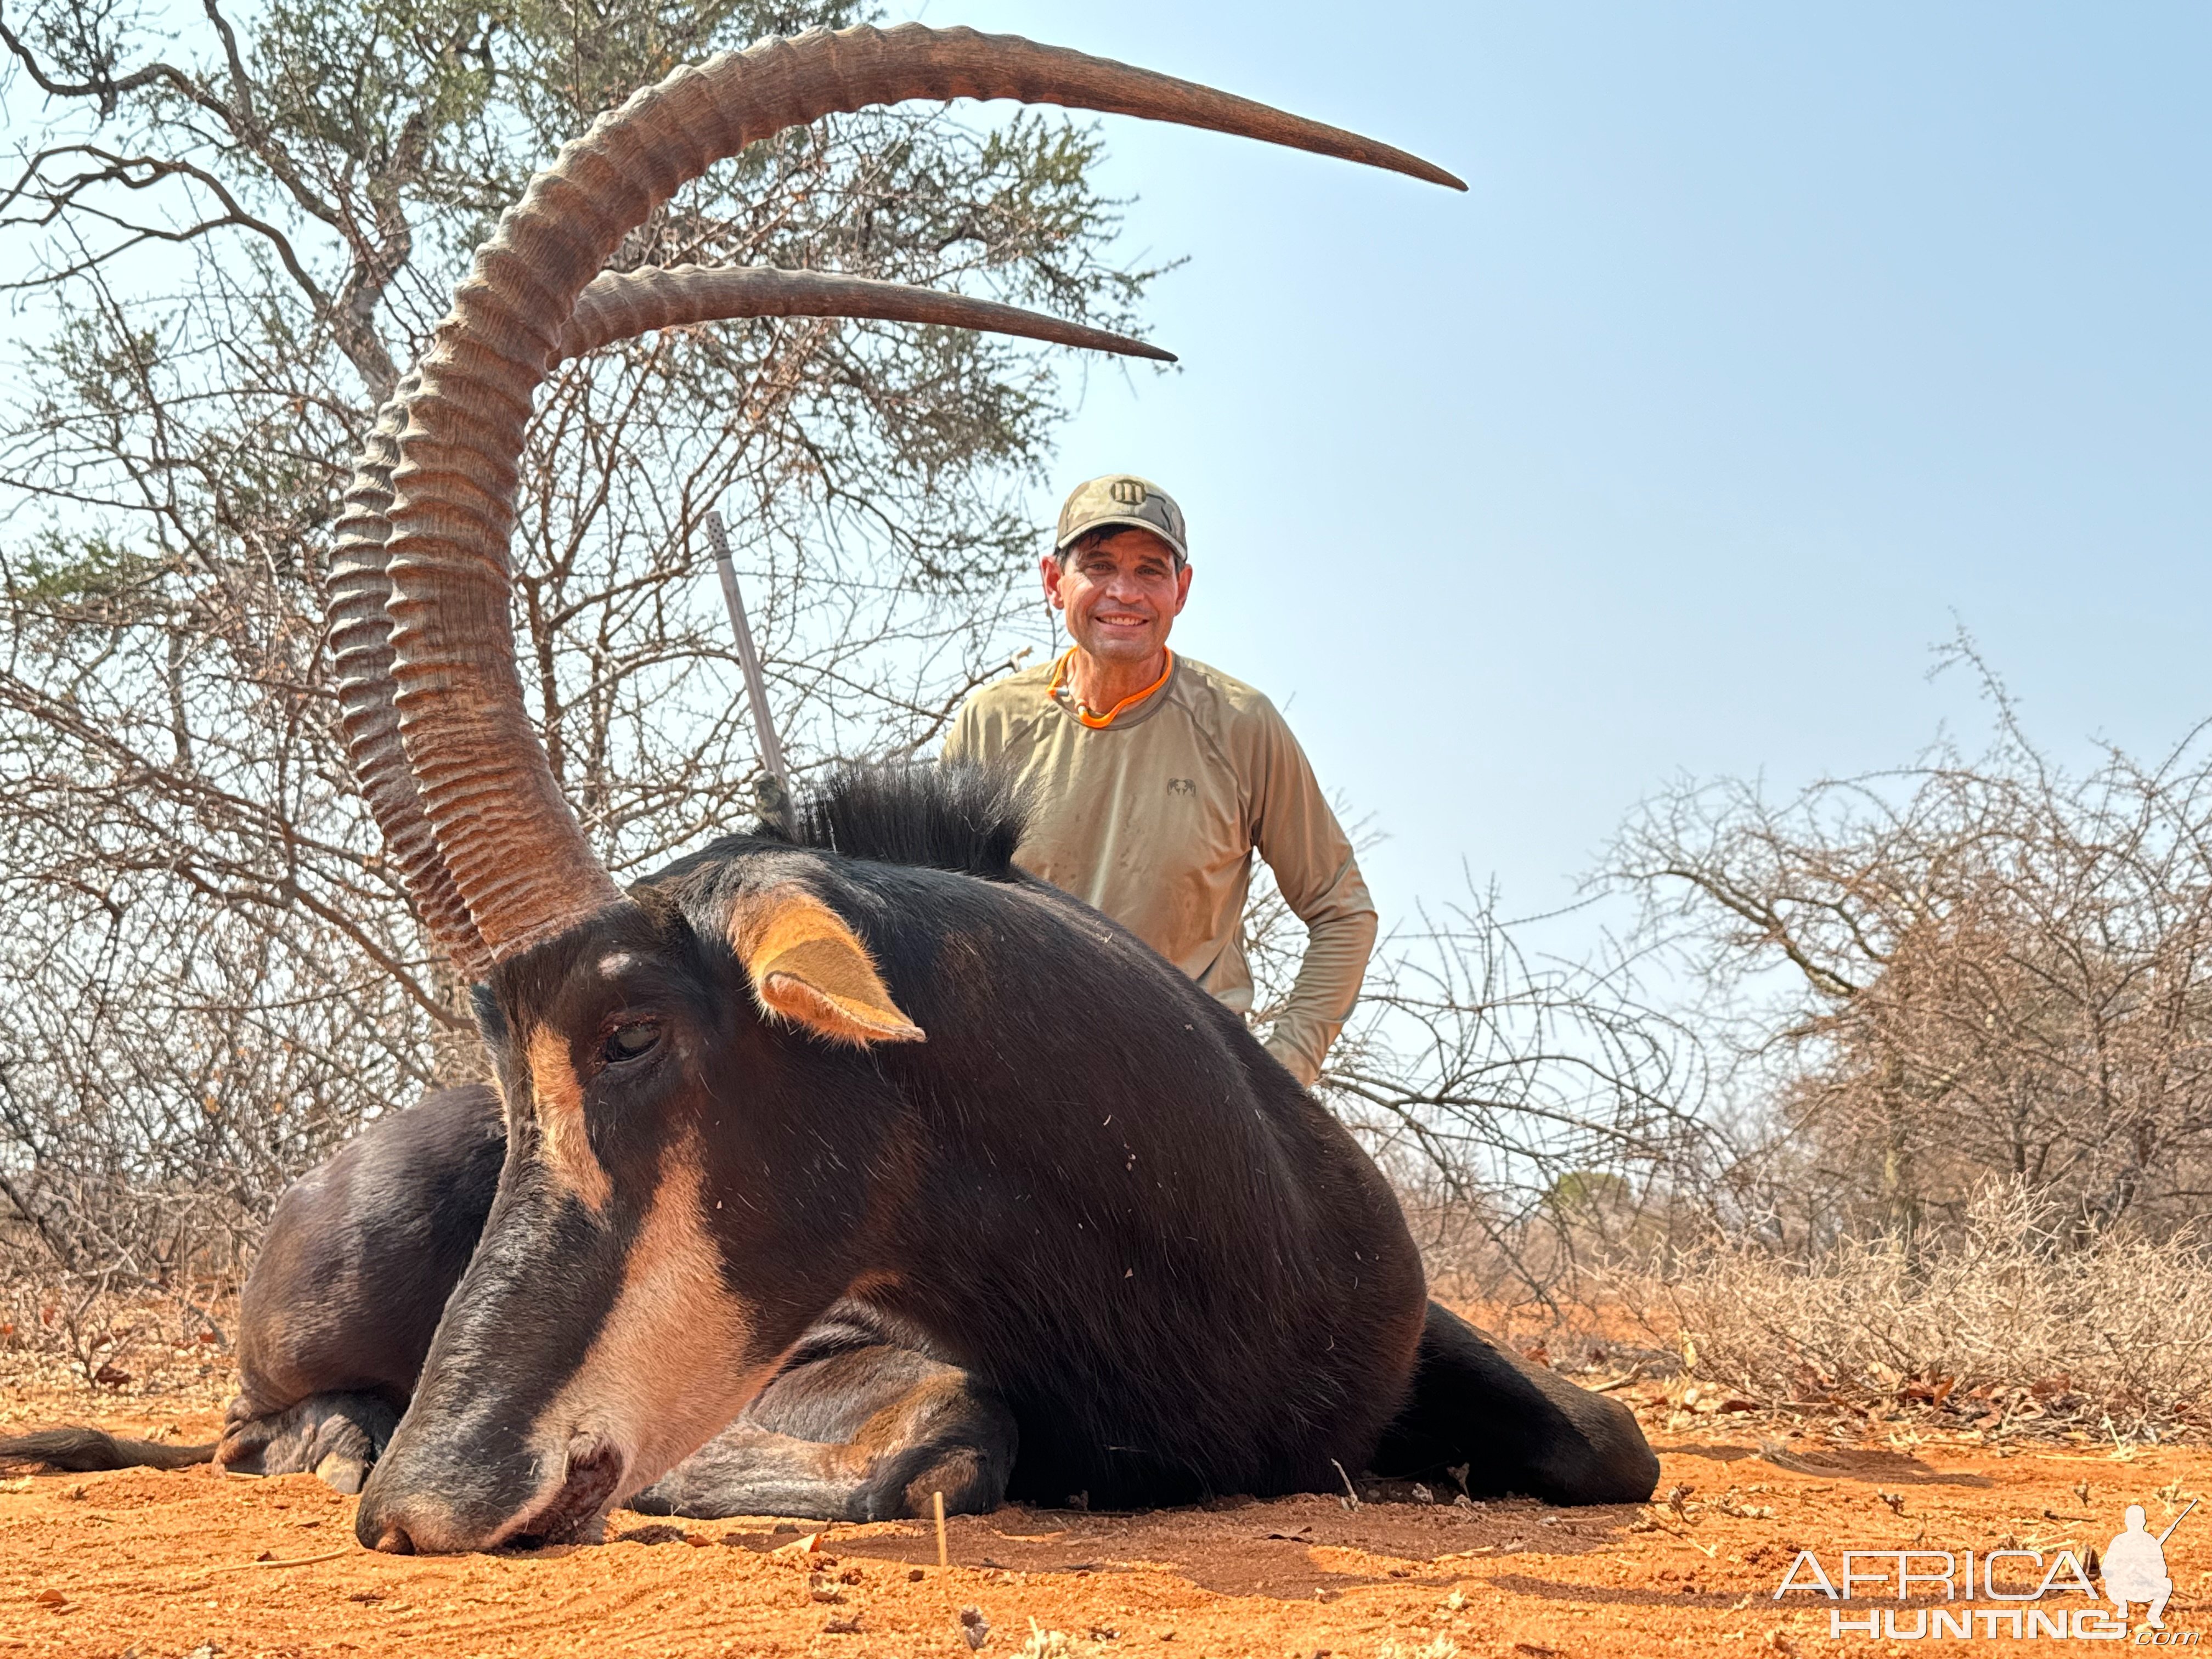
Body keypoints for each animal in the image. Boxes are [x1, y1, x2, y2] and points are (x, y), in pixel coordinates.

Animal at [0, 29, 1663, 1557]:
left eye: (629, 1036)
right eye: (511, 1066)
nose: (426, 1504)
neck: (1193, 1205)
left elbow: (1613, 1441)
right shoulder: (840, 1354)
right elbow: (948, 1434)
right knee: (248, 1421)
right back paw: (342, 1439)